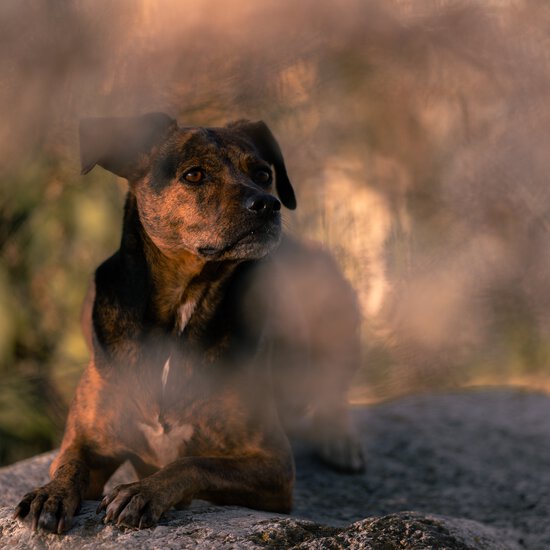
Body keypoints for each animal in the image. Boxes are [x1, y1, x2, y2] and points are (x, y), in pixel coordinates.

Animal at [12, 115, 364, 536]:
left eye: (263, 174)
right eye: (194, 174)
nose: (268, 204)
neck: (184, 306)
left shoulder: (274, 465)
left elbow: (194, 462)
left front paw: (143, 492)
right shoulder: (88, 441)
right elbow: (69, 464)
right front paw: (50, 493)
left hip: (334, 299)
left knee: (333, 383)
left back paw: (340, 439)